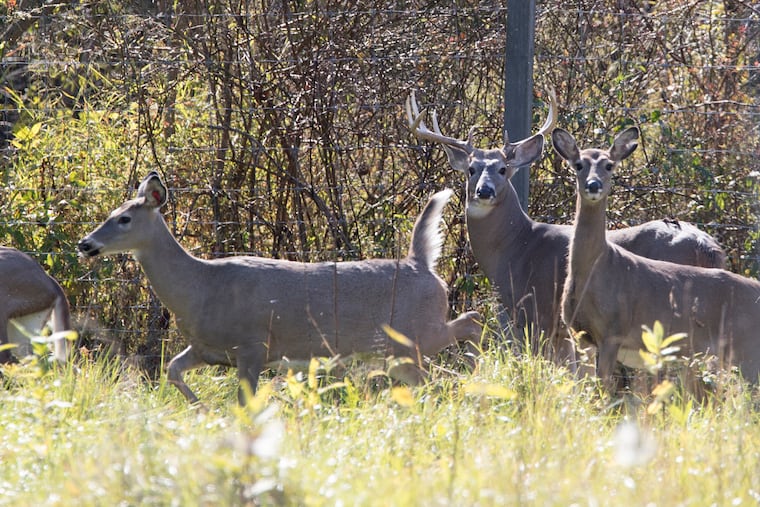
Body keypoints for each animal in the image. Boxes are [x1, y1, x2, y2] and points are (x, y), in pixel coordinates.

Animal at [78, 171, 482, 405]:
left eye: (124, 218)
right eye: (110, 213)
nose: (85, 243)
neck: (200, 287)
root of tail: (421, 263)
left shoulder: (254, 345)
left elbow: (244, 403)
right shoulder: (208, 348)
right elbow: (173, 370)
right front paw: (200, 407)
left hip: (414, 333)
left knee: (470, 322)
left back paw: (480, 367)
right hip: (397, 352)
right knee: (435, 375)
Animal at [405, 91, 726, 364]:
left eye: (503, 169)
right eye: (471, 169)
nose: (484, 191)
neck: (516, 248)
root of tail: (707, 247)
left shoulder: (537, 313)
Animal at [553, 126, 760, 389]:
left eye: (609, 165)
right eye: (579, 164)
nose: (593, 185)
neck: (595, 270)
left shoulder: (614, 331)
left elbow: (603, 390)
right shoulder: (579, 336)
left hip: (748, 350)